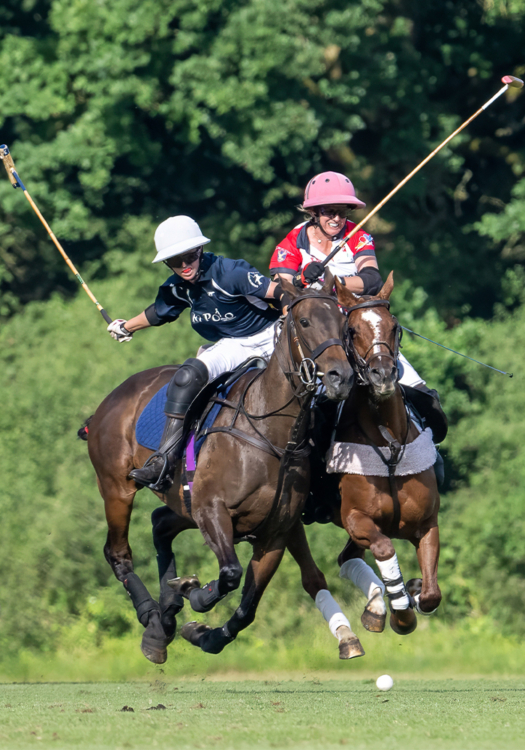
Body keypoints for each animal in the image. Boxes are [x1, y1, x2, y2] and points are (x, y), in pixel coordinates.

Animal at [83, 280, 352, 664]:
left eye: (344, 324)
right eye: (304, 321)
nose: (341, 377)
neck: (271, 434)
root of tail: (110, 399)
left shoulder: (275, 532)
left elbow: (247, 606)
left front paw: (203, 633)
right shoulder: (212, 511)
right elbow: (230, 574)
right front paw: (194, 594)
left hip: (183, 502)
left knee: (160, 524)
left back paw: (163, 620)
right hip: (117, 487)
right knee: (118, 553)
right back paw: (152, 617)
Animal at [288, 276, 440, 648]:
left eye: (394, 326)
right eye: (352, 330)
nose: (382, 374)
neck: (390, 447)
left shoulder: (427, 523)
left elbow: (432, 594)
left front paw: (413, 591)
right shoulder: (356, 518)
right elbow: (385, 548)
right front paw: (401, 611)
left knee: (347, 558)